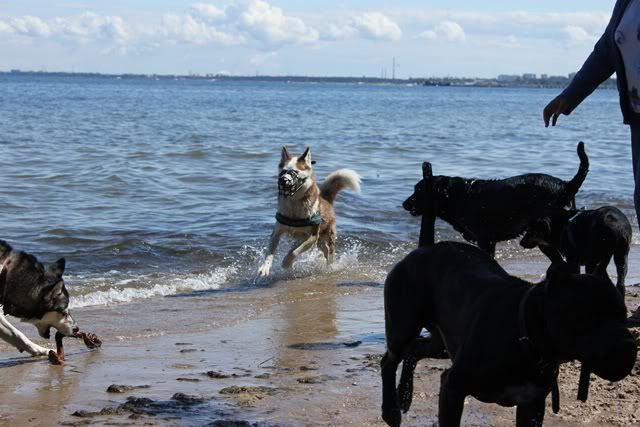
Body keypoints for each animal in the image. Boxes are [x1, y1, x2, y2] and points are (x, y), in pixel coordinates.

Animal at [257, 146, 360, 277]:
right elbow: (270, 253)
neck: (294, 203)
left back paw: (330, 267)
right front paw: (265, 267)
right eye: (283, 171)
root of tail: (326, 199)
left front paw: (286, 263)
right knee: (322, 249)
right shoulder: (277, 232)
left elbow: (294, 252)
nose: (283, 180)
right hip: (317, 240)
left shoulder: (312, 237)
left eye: (295, 172)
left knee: (329, 252)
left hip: (327, 235)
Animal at [381, 241, 637, 427]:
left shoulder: (532, 406)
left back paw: (404, 395)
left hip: (443, 343)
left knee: (415, 349)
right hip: (403, 325)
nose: (629, 346)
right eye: (585, 316)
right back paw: (391, 410)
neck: (525, 335)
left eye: (622, 314)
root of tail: (421, 250)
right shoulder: (453, 387)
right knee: (390, 359)